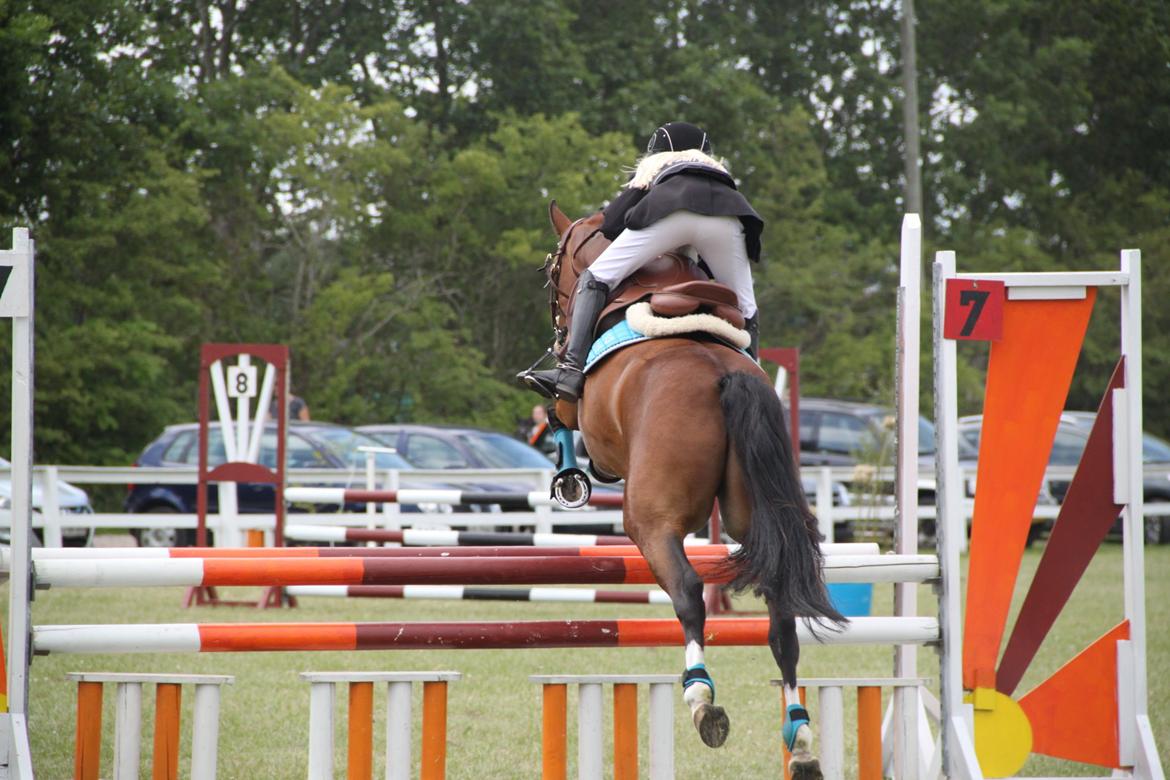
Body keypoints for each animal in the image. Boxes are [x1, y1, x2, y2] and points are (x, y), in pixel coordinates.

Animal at [538, 202, 846, 778]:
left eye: (553, 274)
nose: (559, 333)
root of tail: (724, 374)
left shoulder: (584, 419)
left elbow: (559, 412)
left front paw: (568, 475)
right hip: (754, 517)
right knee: (782, 619)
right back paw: (799, 739)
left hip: (650, 522)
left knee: (686, 591)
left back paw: (702, 699)